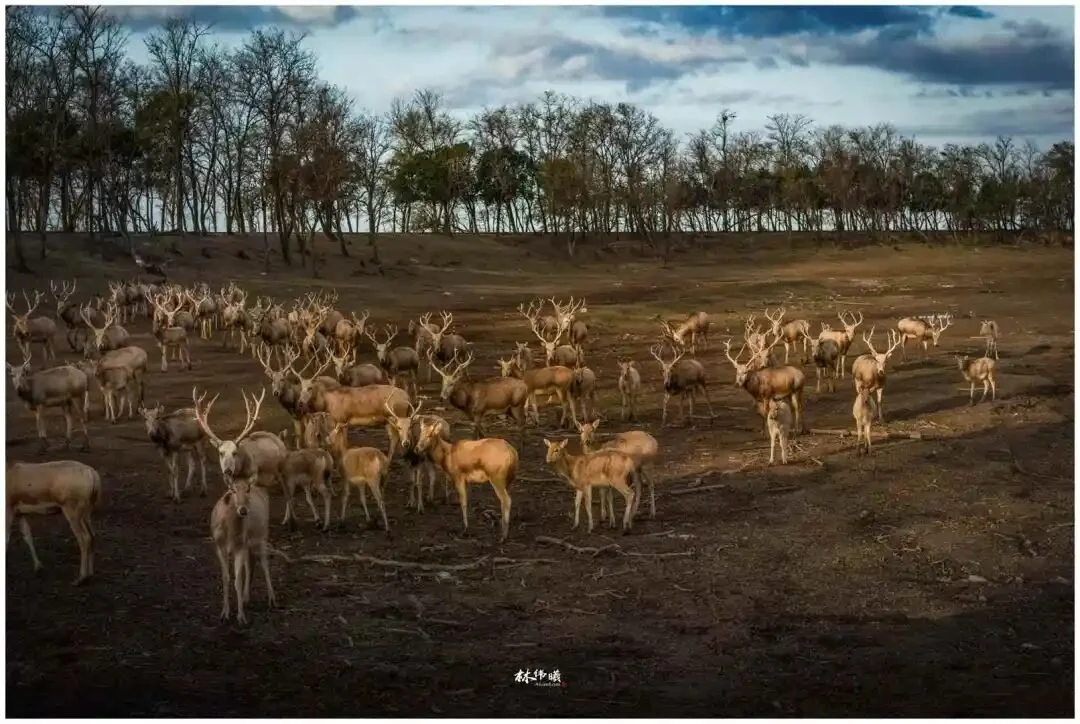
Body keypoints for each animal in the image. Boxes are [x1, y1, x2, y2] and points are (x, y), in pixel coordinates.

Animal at [210, 478, 276, 625]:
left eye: (248, 489)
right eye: (232, 490)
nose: (243, 510)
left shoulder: (239, 547)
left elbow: (238, 580)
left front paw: (241, 617)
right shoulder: (220, 546)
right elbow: (225, 578)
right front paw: (224, 614)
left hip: (262, 535)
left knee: (265, 565)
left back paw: (272, 600)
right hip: (248, 543)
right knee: (249, 564)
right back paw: (246, 598)